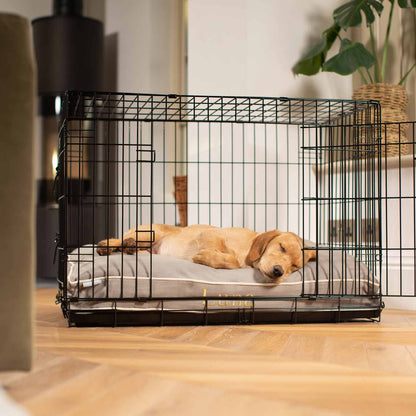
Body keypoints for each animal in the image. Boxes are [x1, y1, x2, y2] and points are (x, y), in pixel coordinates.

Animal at [97, 224, 316, 283]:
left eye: (295, 267)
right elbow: (232, 259)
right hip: (150, 233)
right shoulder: (211, 233)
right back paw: (107, 244)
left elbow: (233, 261)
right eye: (282, 247)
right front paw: (204, 257)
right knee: (118, 239)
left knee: (127, 244)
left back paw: (129, 246)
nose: (279, 271)